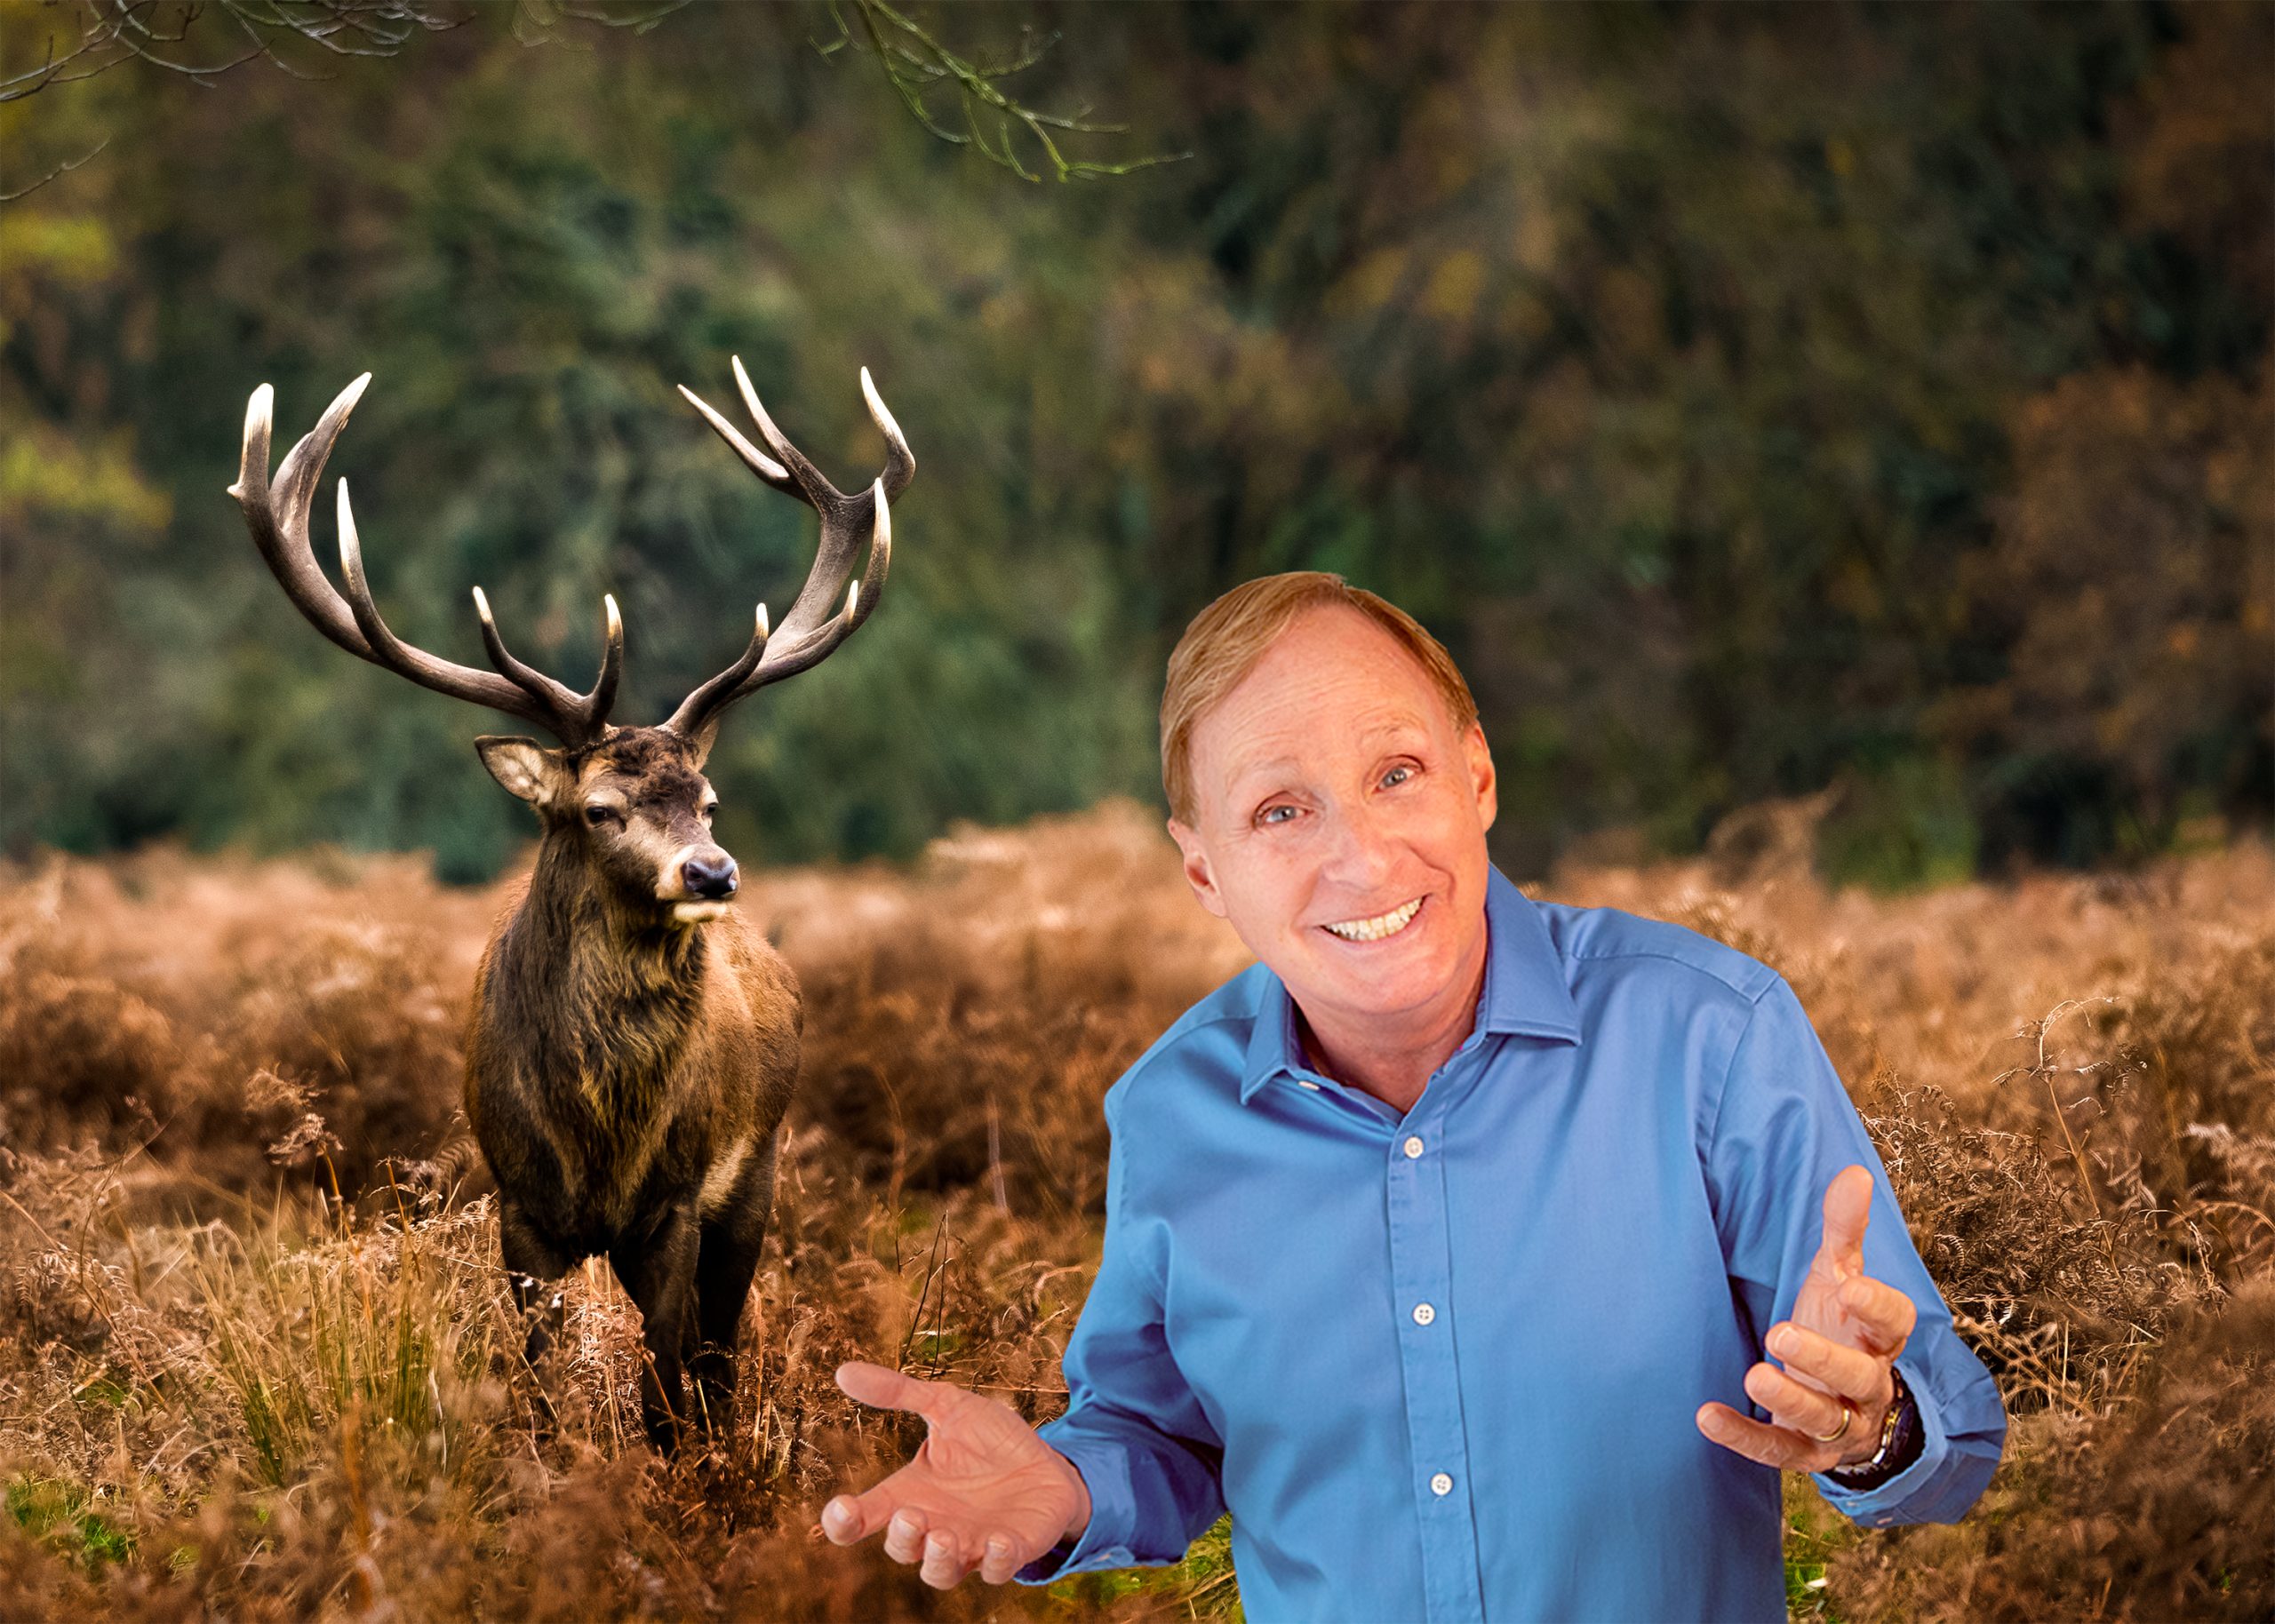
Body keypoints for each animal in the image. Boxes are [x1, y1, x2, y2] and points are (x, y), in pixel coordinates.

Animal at [227, 357, 913, 1452]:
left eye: (707, 800)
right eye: (598, 809)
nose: (712, 873)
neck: (598, 1137)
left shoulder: (677, 1203)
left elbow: (667, 1384)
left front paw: (686, 1475)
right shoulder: (520, 1208)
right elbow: (543, 1384)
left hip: (757, 1171)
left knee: (721, 1352)